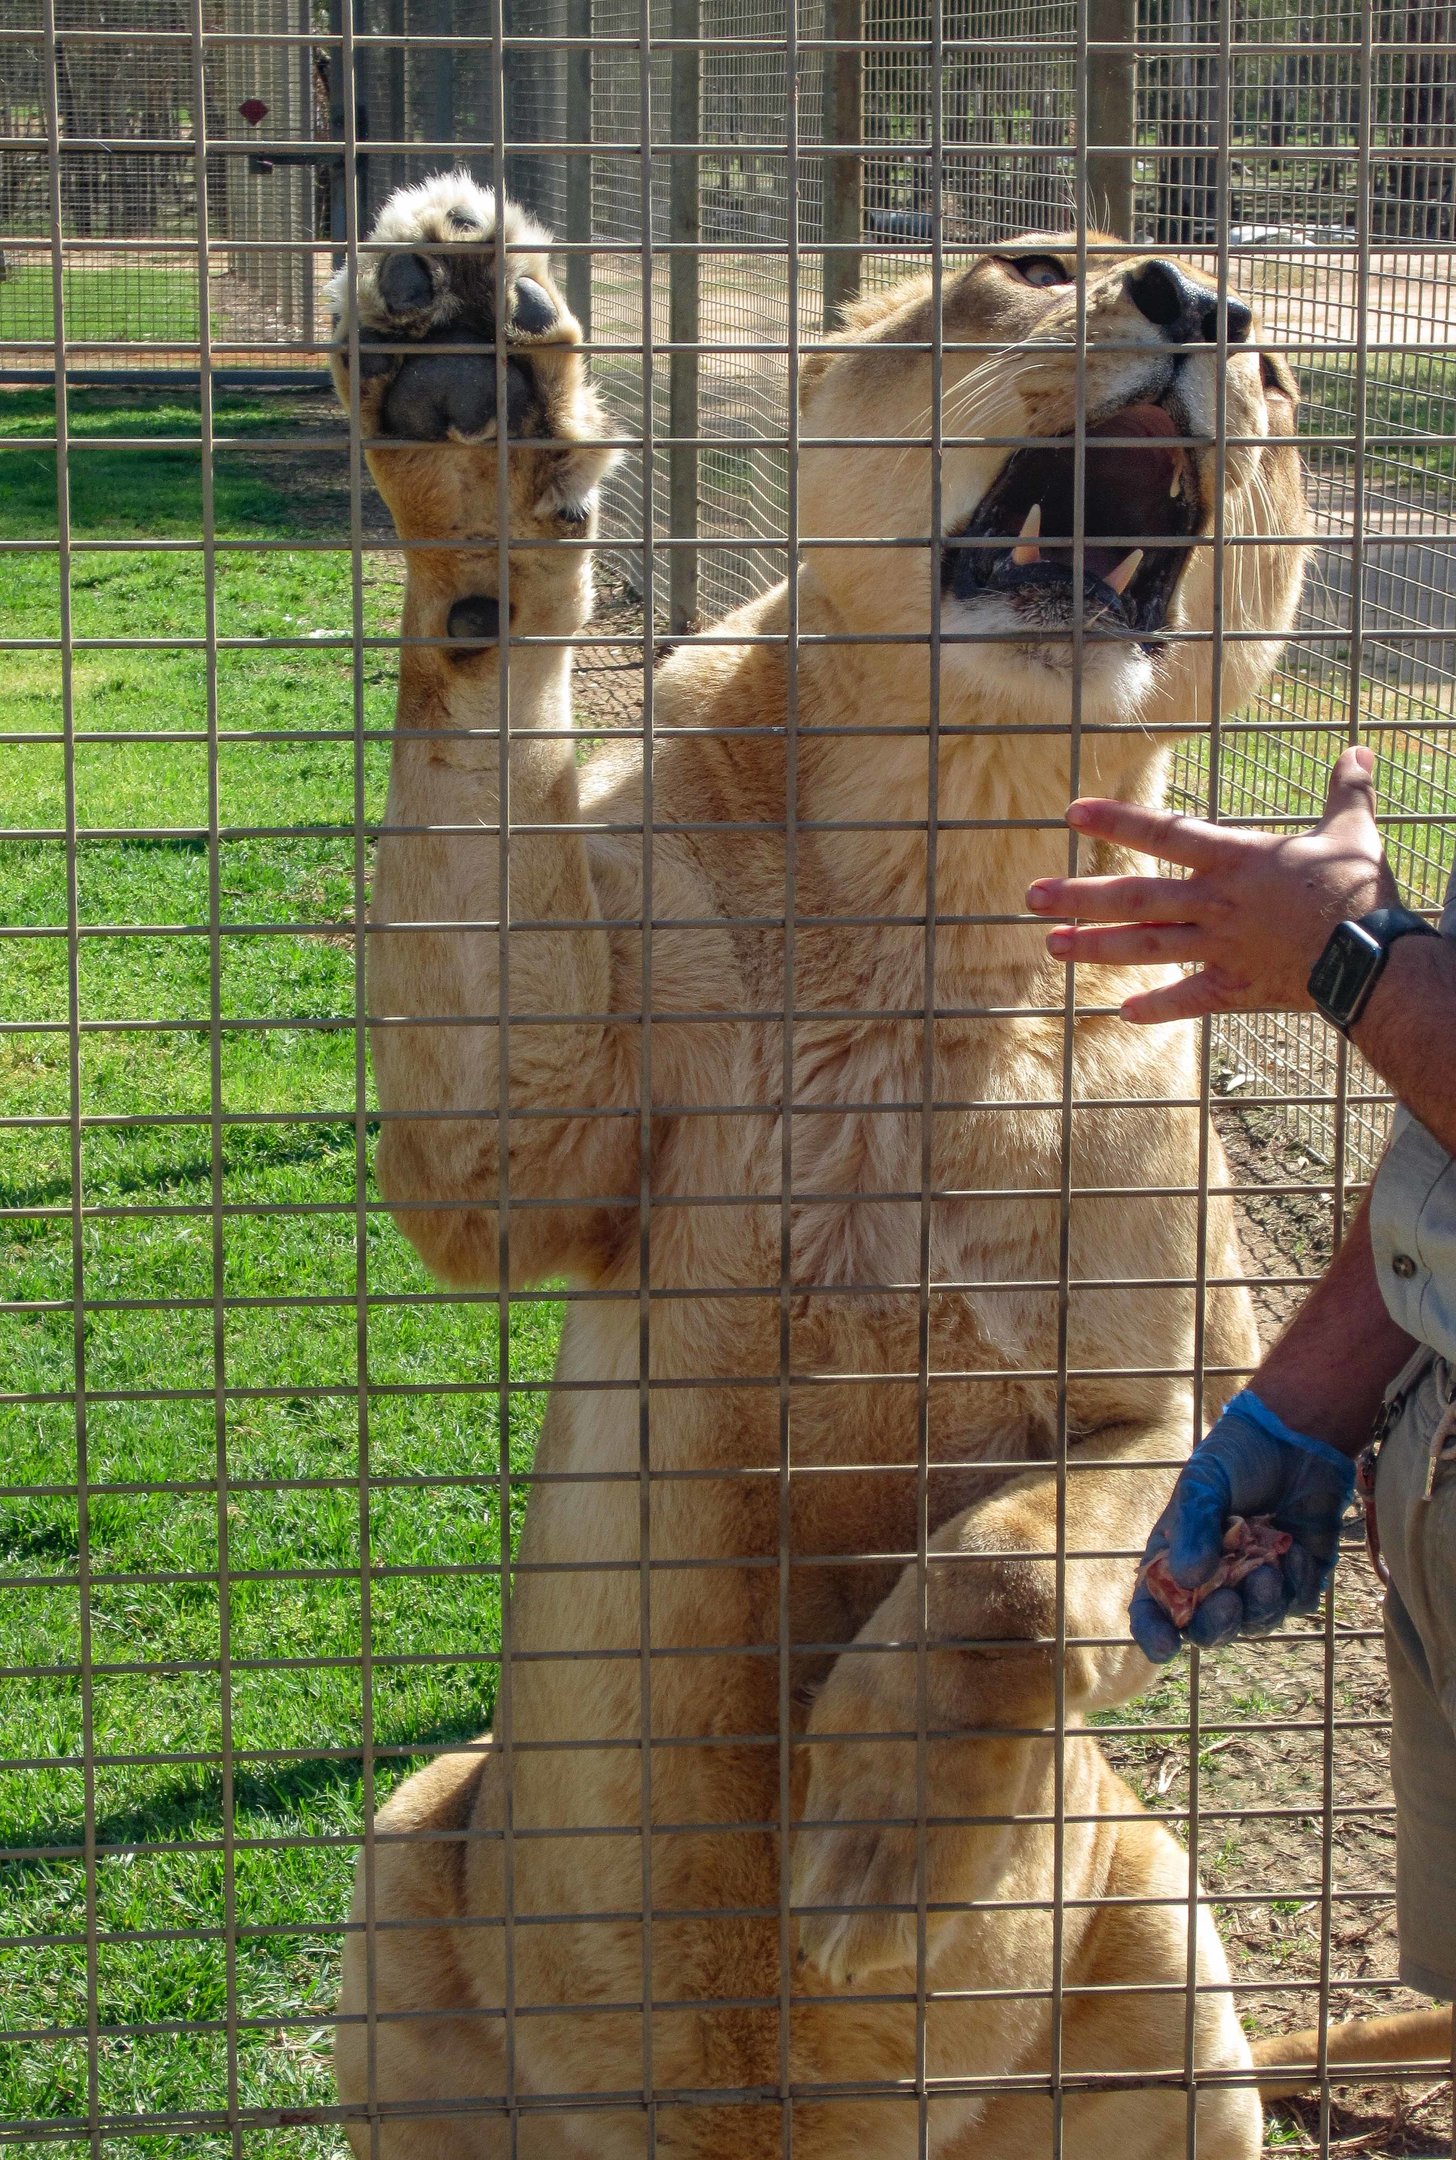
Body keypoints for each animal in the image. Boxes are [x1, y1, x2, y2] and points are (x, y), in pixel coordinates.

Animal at [326, 173, 1449, 2158]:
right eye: (1036, 266)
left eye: (1282, 374)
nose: (1208, 302)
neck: (941, 857)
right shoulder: (510, 1146)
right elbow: (473, 745)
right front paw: (467, 378)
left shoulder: (1187, 1408)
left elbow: (1005, 1567)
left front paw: (860, 1848)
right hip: (405, 1845)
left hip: (1173, 1947)